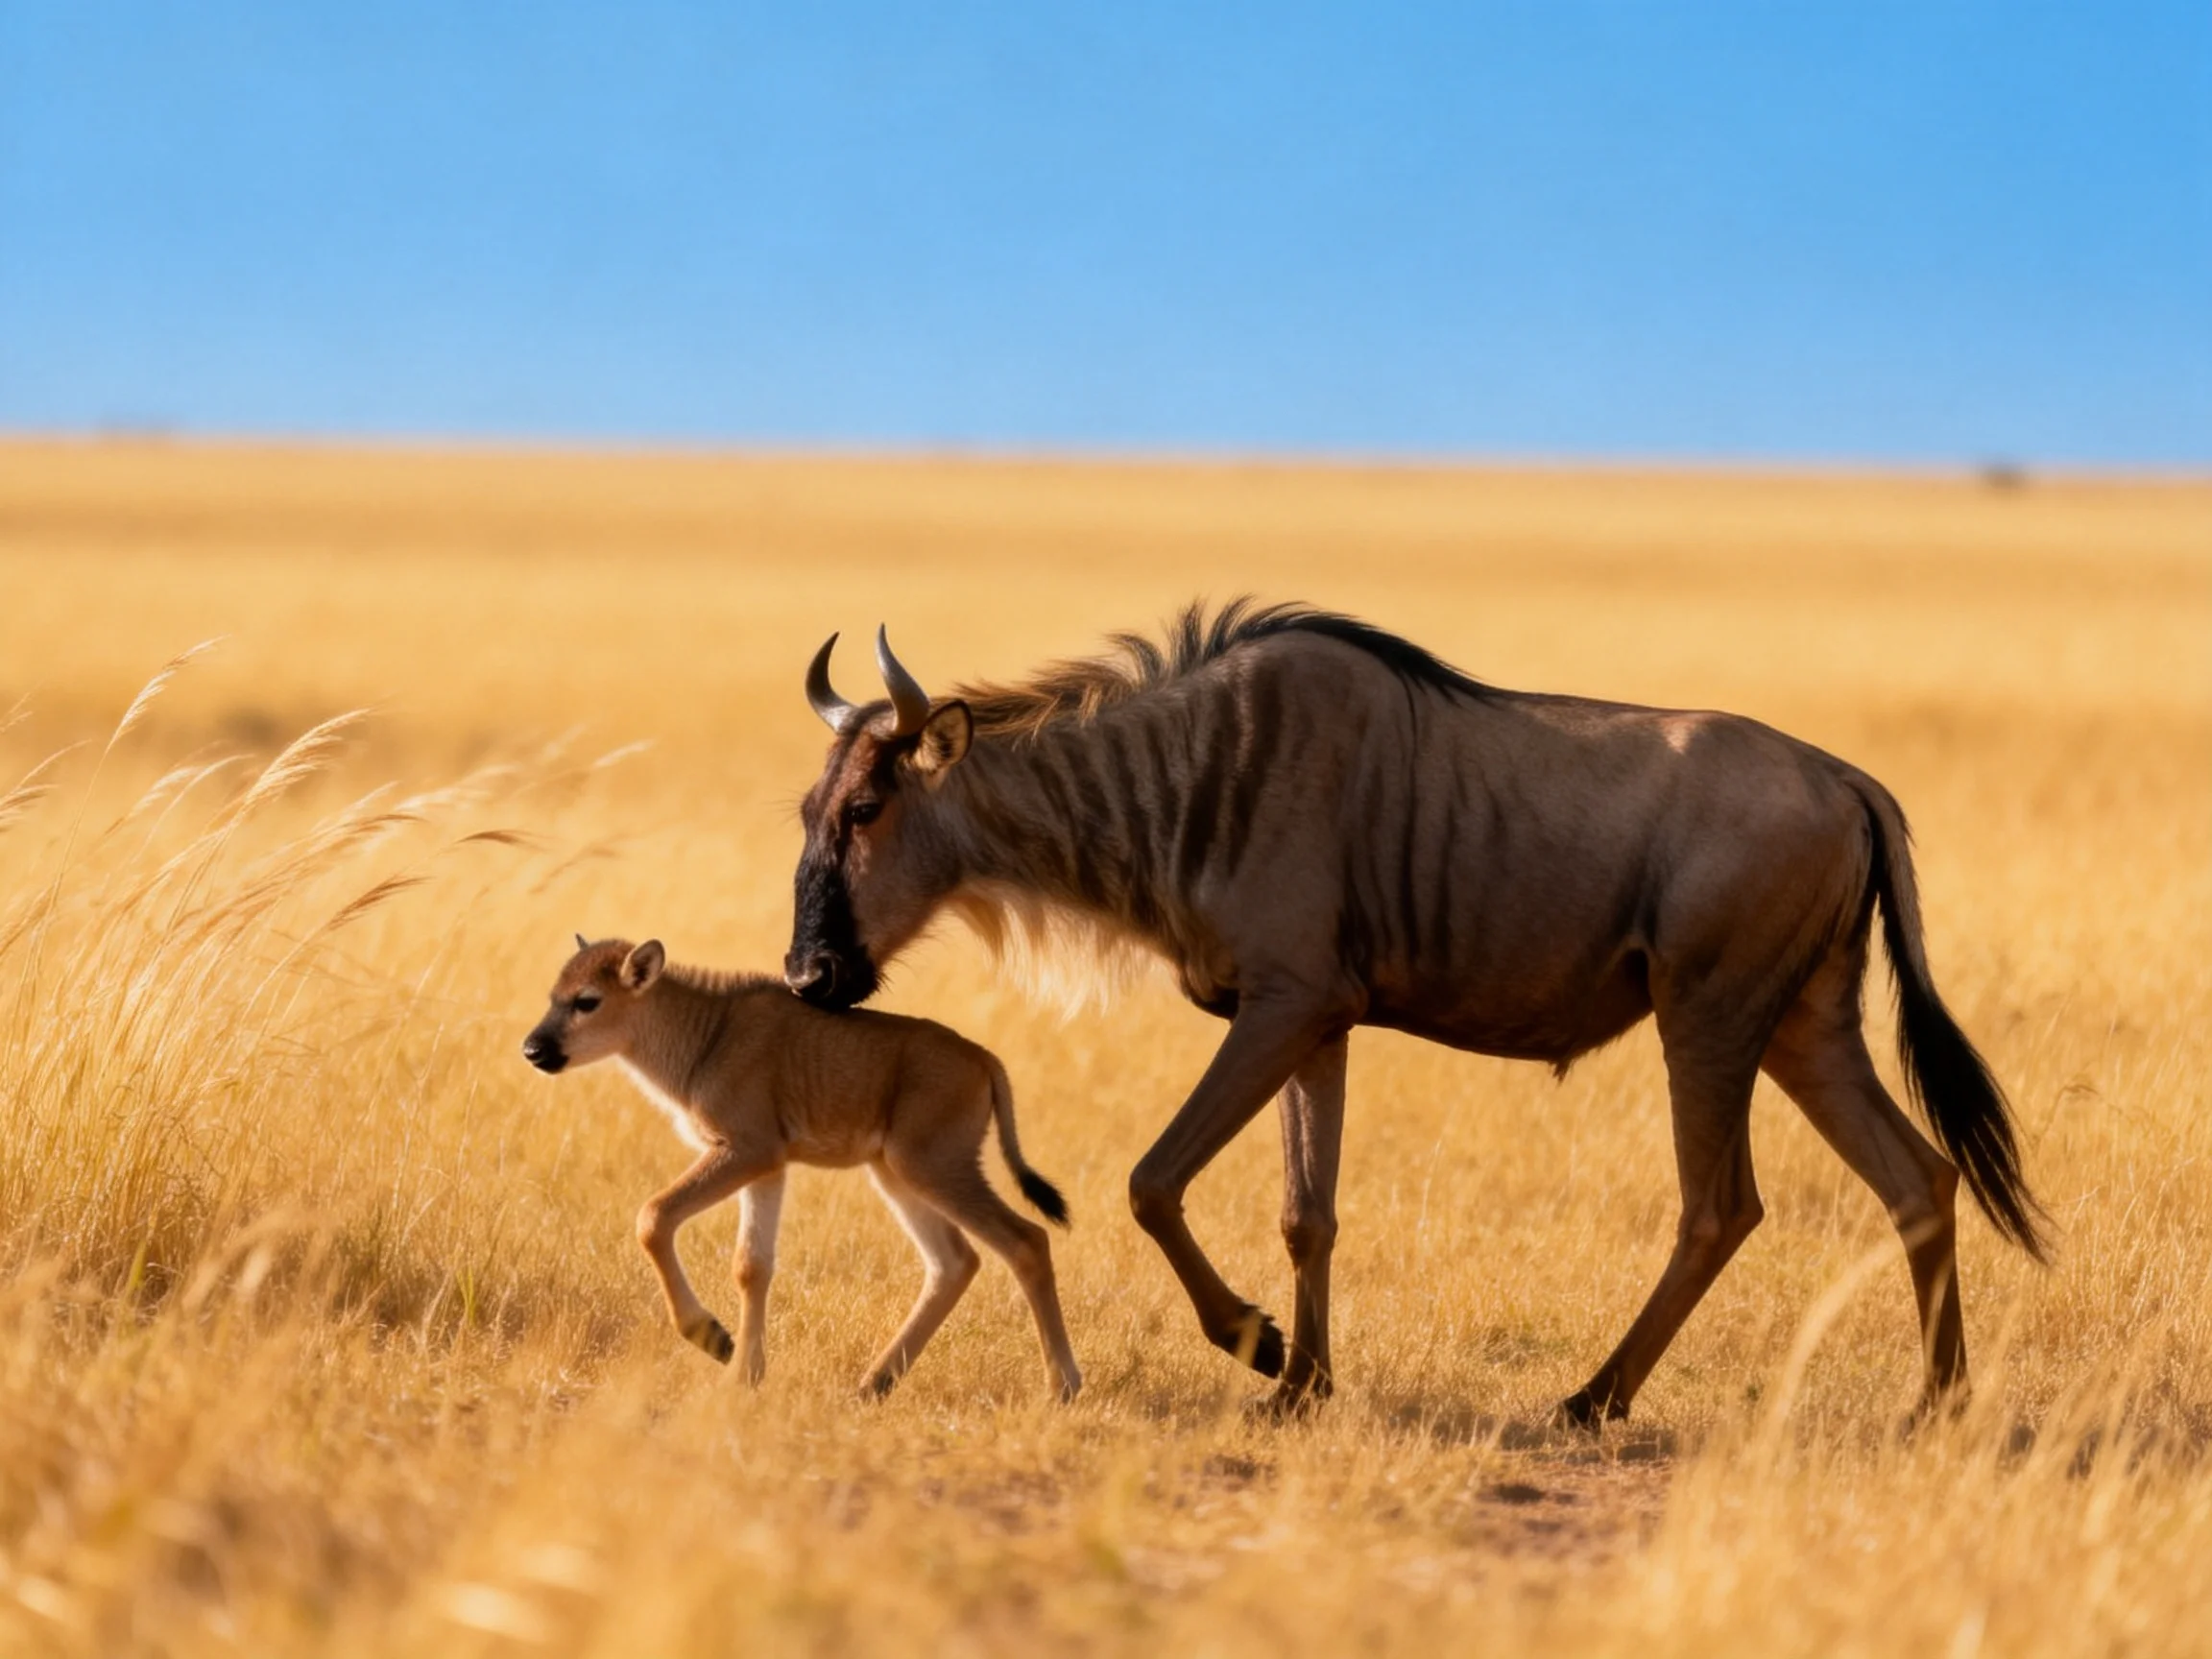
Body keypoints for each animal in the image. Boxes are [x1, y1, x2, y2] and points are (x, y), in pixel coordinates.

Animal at [522, 935, 1082, 1400]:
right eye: (553, 995)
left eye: (587, 1000)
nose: (533, 1049)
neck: (708, 1034)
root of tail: (986, 1061)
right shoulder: (767, 1169)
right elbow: (752, 1265)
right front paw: (742, 1371)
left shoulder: (747, 1152)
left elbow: (653, 1217)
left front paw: (713, 1338)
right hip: (896, 1174)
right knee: (954, 1262)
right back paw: (874, 1384)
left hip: (935, 1169)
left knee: (1026, 1242)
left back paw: (1063, 1386)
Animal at [783, 604, 2045, 1423]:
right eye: (809, 808)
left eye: (868, 808)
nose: (805, 977)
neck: (1193, 779)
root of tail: (1846, 781)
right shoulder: (1318, 1024)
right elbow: (1308, 1211)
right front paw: (1303, 1386)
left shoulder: (1284, 1007)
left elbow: (1152, 1179)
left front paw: (1256, 1346)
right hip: (1806, 1028)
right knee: (1918, 1179)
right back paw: (1939, 1407)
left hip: (1711, 1020)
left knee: (1720, 1206)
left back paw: (1594, 1399)